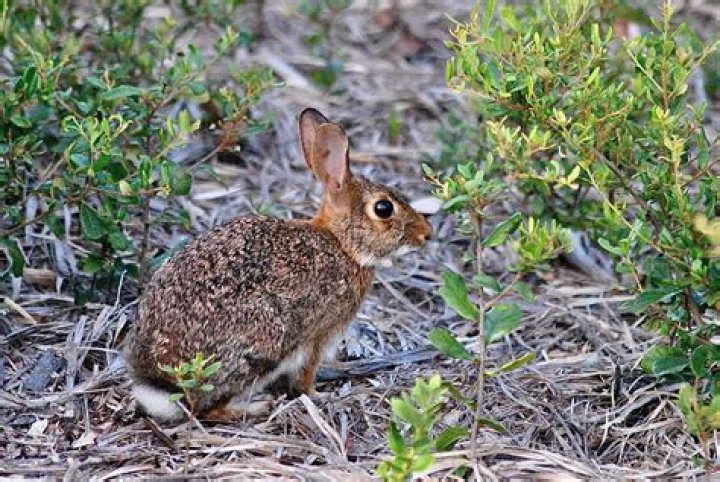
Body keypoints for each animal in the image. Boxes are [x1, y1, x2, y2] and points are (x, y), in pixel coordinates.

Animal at [126, 108, 433, 422]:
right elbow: (305, 376)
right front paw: (317, 396)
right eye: (383, 208)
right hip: (264, 344)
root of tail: (162, 384)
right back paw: (255, 406)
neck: (342, 244)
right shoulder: (319, 336)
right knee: (205, 408)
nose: (426, 234)